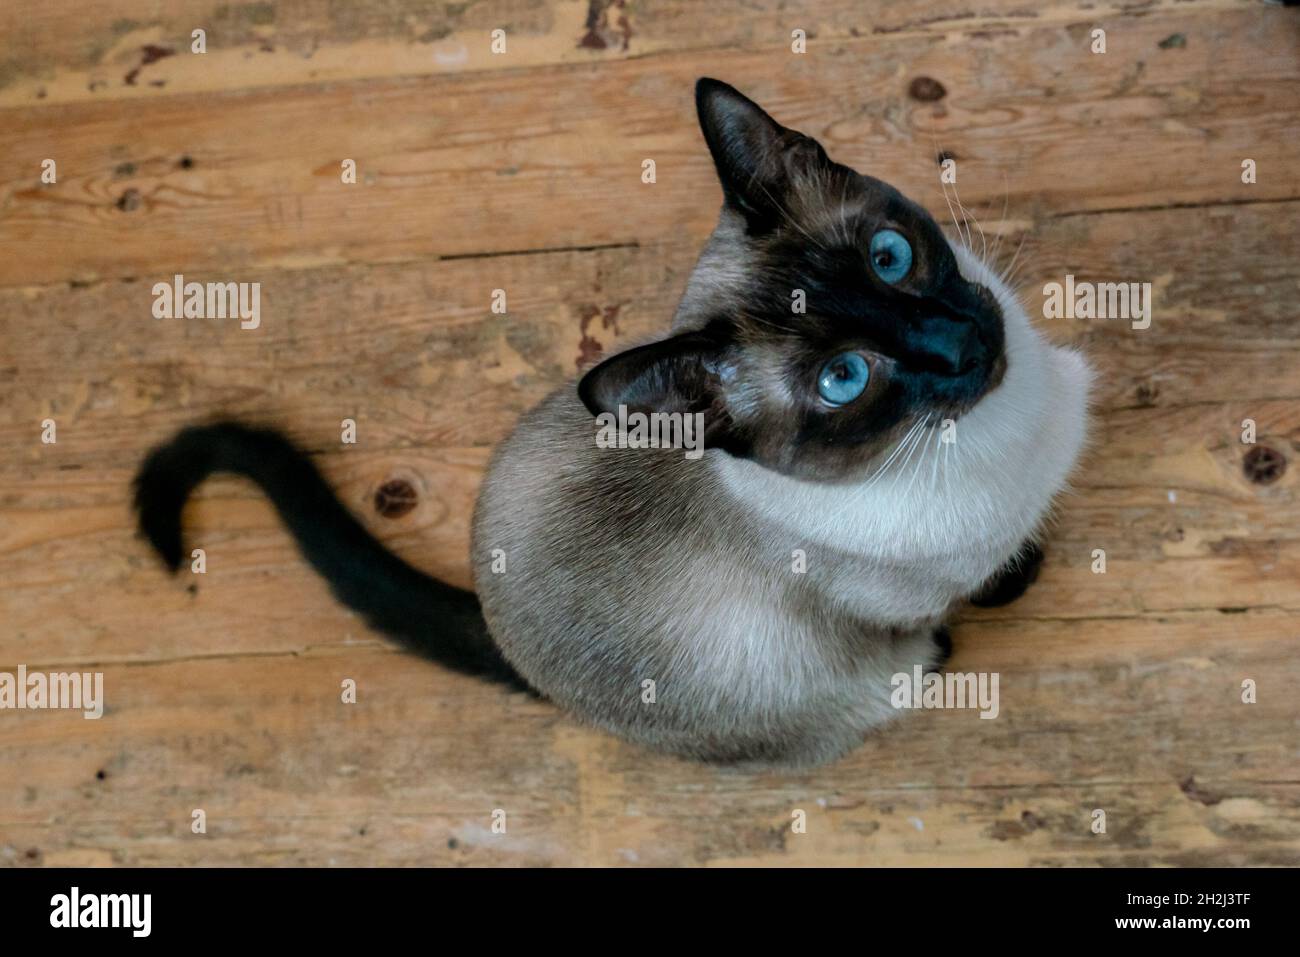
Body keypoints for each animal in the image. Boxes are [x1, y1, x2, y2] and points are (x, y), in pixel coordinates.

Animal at [134, 80, 1086, 769]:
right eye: (844, 379)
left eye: (891, 257)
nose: (961, 342)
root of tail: (500, 629)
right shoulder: (910, 595)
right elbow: (982, 580)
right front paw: (1021, 576)